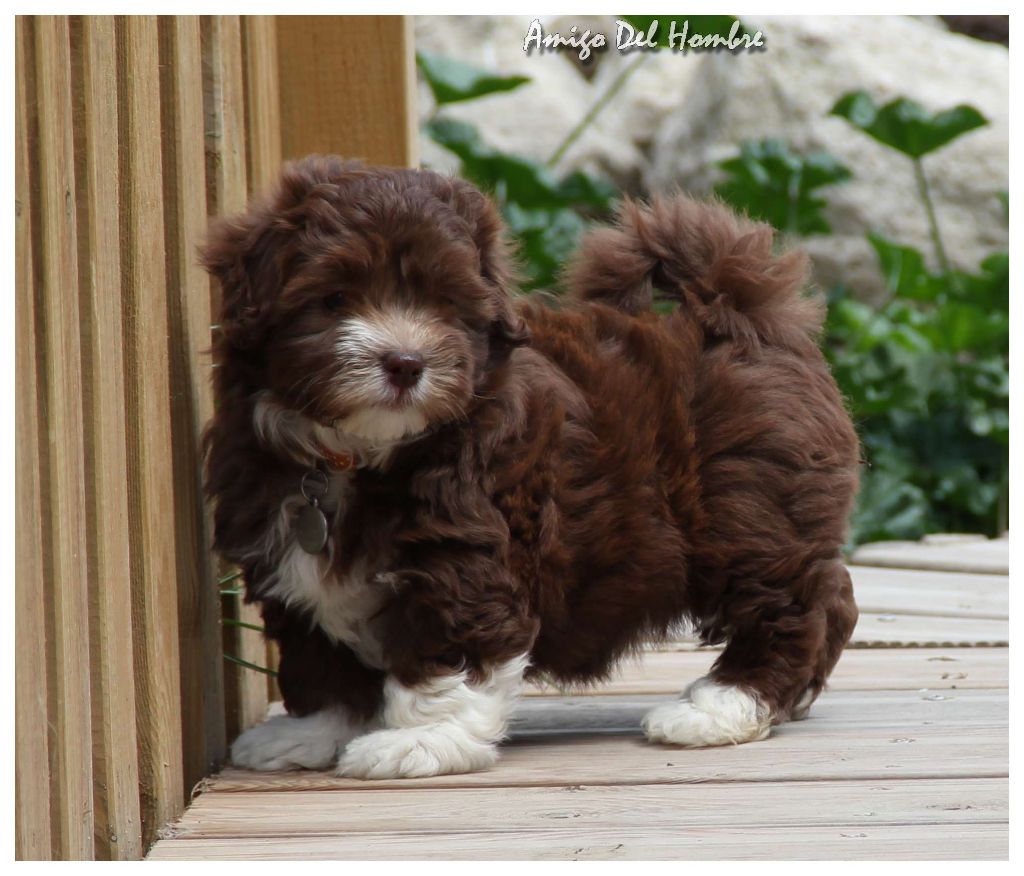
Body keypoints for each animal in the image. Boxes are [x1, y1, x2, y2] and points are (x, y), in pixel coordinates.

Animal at [203, 157, 860, 782]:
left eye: (445, 303)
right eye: (334, 298)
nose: (406, 363)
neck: (359, 453)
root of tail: (742, 317)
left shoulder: (465, 553)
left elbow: (450, 650)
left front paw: (421, 740)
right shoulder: (288, 561)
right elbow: (319, 656)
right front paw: (314, 731)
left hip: (747, 510)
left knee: (786, 604)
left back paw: (723, 705)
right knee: (834, 598)